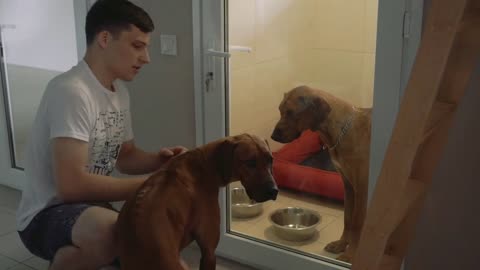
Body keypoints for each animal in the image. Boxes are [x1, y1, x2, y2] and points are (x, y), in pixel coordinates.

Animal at [270, 85, 372, 262]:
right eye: (280, 110)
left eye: (291, 112)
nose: (273, 136)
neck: (341, 131)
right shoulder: (348, 187)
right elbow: (348, 218)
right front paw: (341, 245)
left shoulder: (362, 189)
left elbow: (357, 223)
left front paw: (350, 255)